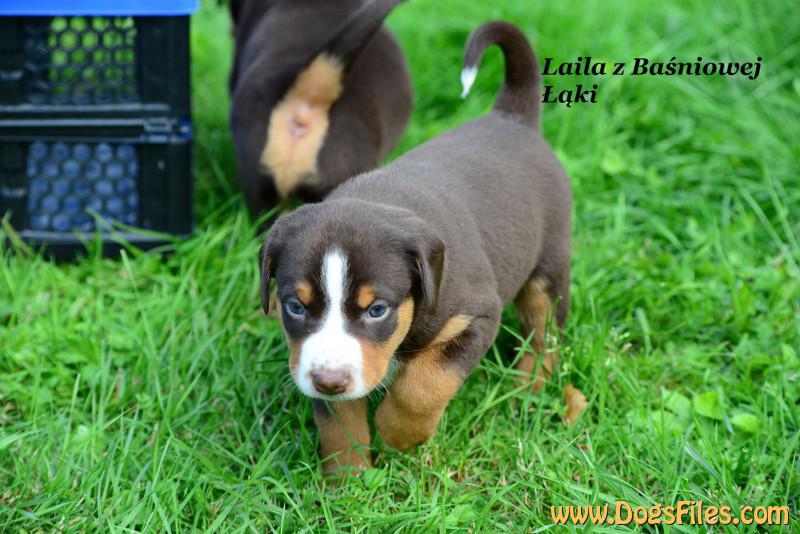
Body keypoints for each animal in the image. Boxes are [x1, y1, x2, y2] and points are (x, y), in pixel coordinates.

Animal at [260, 21, 572, 474]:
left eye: (377, 310)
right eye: (295, 307)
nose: (330, 381)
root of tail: (512, 116)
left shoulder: (475, 317)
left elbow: (424, 383)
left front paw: (399, 433)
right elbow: (337, 420)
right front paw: (347, 479)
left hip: (548, 267)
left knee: (544, 330)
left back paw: (528, 388)